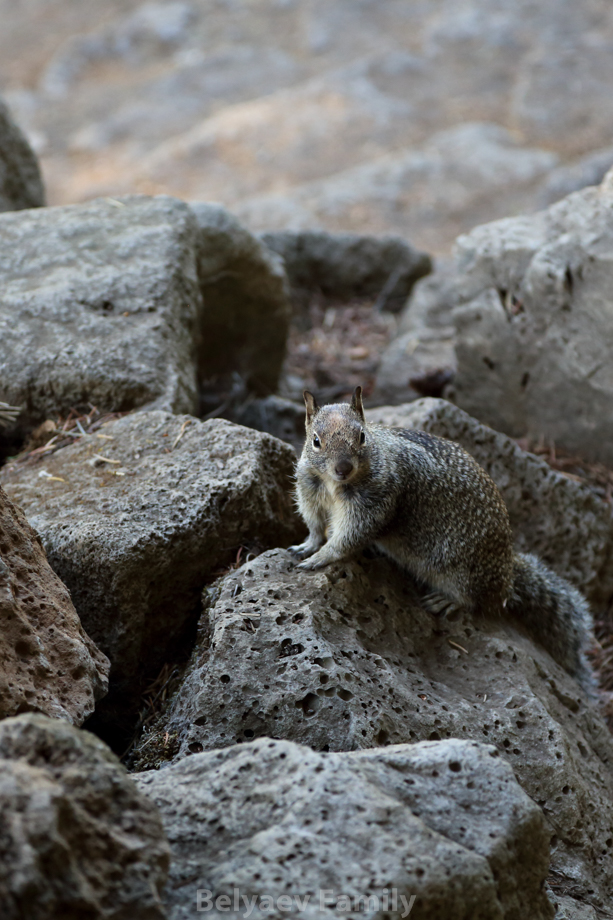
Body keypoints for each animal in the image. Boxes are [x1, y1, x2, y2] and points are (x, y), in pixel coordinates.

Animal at [289, 386, 595, 693]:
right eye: (316, 441)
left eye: (362, 436)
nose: (343, 468)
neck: (335, 485)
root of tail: (507, 576)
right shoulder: (309, 489)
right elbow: (315, 524)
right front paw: (308, 545)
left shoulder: (375, 503)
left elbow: (349, 537)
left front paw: (321, 556)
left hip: (461, 572)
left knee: (474, 601)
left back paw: (447, 601)